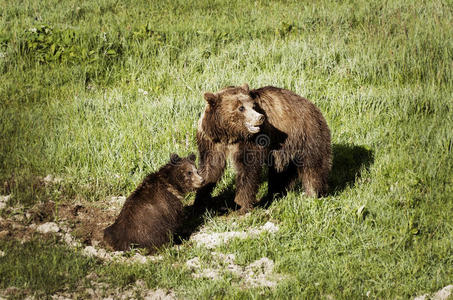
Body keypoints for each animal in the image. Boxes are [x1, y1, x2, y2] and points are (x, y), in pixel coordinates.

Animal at [192, 84, 330, 213]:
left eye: (253, 106)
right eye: (241, 107)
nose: (260, 117)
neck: (230, 135)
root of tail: (313, 106)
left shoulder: (253, 140)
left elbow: (248, 170)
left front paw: (241, 205)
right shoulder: (211, 140)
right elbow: (211, 167)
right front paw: (199, 201)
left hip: (306, 134)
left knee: (312, 167)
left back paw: (313, 194)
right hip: (284, 148)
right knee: (281, 171)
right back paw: (276, 193)